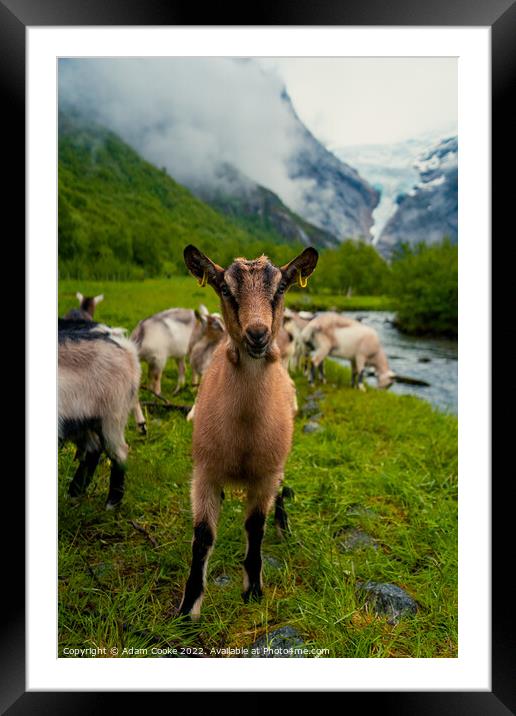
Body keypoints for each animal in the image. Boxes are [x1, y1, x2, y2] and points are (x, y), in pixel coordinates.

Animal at [58, 318, 141, 510]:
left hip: (112, 414)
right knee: (93, 448)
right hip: (81, 419)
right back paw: (74, 494)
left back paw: (111, 505)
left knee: (119, 452)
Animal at [178, 243, 318, 620]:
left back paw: (284, 527)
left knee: (280, 494)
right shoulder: (204, 472)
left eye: (282, 286)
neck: (243, 437)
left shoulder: (265, 475)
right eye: (225, 289)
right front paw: (187, 608)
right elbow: (202, 537)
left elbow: (255, 528)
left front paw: (253, 589)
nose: (258, 335)